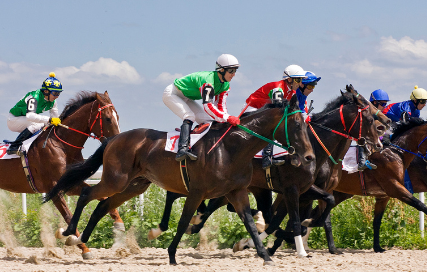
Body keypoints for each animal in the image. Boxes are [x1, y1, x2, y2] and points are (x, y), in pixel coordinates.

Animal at [0, 91, 123, 260]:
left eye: (118, 116)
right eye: (108, 118)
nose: (118, 142)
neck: (62, 146)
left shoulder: (70, 183)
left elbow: (101, 196)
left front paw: (119, 223)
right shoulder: (54, 189)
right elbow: (68, 216)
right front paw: (83, 248)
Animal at [45, 95, 316, 266]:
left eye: (306, 124)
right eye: (296, 124)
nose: (309, 156)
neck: (232, 148)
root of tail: (113, 139)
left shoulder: (237, 192)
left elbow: (249, 221)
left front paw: (265, 255)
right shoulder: (197, 192)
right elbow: (185, 220)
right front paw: (173, 254)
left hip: (134, 185)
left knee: (102, 205)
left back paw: (82, 240)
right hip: (116, 180)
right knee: (86, 195)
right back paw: (70, 232)